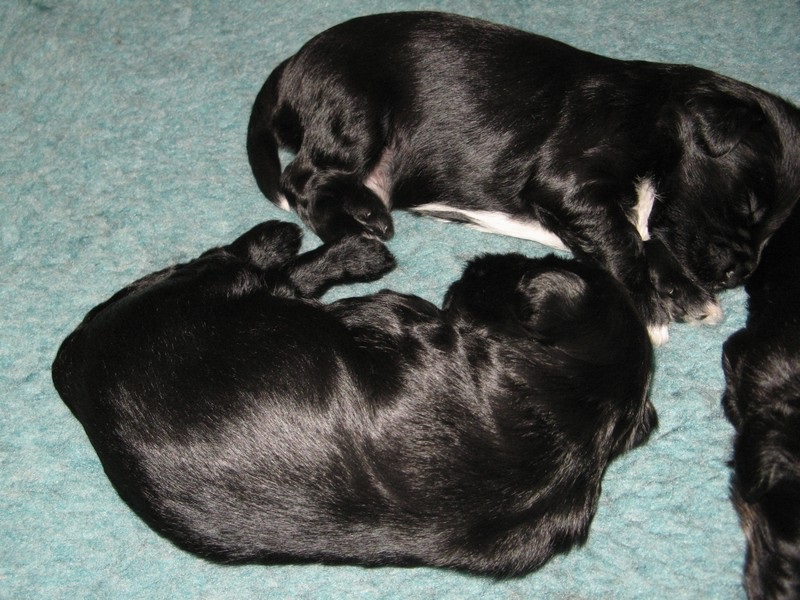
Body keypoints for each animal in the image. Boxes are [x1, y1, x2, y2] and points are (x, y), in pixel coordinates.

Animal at [52, 220, 656, 576]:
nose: (481, 260)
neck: (565, 409)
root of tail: (74, 364)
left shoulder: (391, 316)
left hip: (205, 293)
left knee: (240, 261)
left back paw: (303, 239)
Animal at [247, 11, 800, 344]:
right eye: (748, 203)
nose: (741, 273)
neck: (658, 119)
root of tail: (292, 65)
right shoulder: (567, 180)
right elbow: (624, 241)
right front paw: (650, 312)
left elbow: (645, 236)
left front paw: (686, 295)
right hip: (356, 110)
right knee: (303, 178)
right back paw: (358, 227)